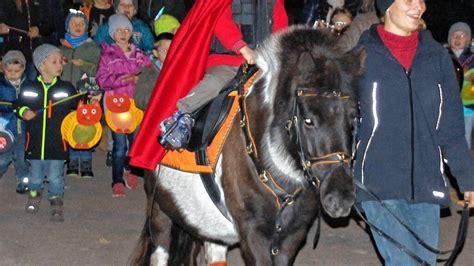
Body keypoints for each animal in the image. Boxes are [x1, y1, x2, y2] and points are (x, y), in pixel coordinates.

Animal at [131, 26, 364, 264]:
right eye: (309, 120)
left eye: (354, 118)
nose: (340, 198)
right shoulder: (254, 234)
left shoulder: (292, 236)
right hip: (160, 211)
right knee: (160, 252)